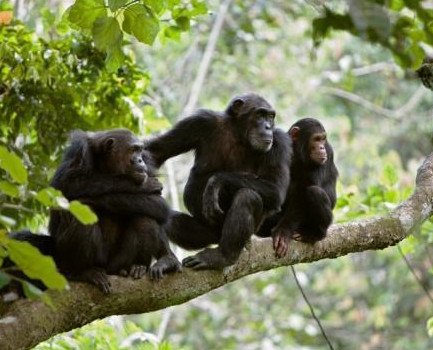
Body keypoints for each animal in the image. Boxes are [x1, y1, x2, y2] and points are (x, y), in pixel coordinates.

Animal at [17, 129, 181, 292]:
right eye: (133, 150)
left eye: (140, 150)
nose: (140, 160)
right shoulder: (79, 150)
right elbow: (63, 185)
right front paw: (143, 184)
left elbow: (158, 204)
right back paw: (83, 272)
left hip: (117, 263)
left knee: (145, 218)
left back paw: (151, 263)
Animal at [147, 91, 292, 270]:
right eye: (260, 115)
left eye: (270, 117)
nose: (268, 127)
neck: (239, 134)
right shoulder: (199, 122)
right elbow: (156, 151)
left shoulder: (279, 142)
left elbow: (275, 188)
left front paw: (216, 182)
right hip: (206, 233)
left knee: (247, 197)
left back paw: (222, 256)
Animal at [256, 117, 338, 258]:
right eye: (316, 139)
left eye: (323, 139)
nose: (321, 147)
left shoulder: (328, 152)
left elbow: (303, 192)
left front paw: (283, 232)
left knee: (315, 192)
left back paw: (314, 234)